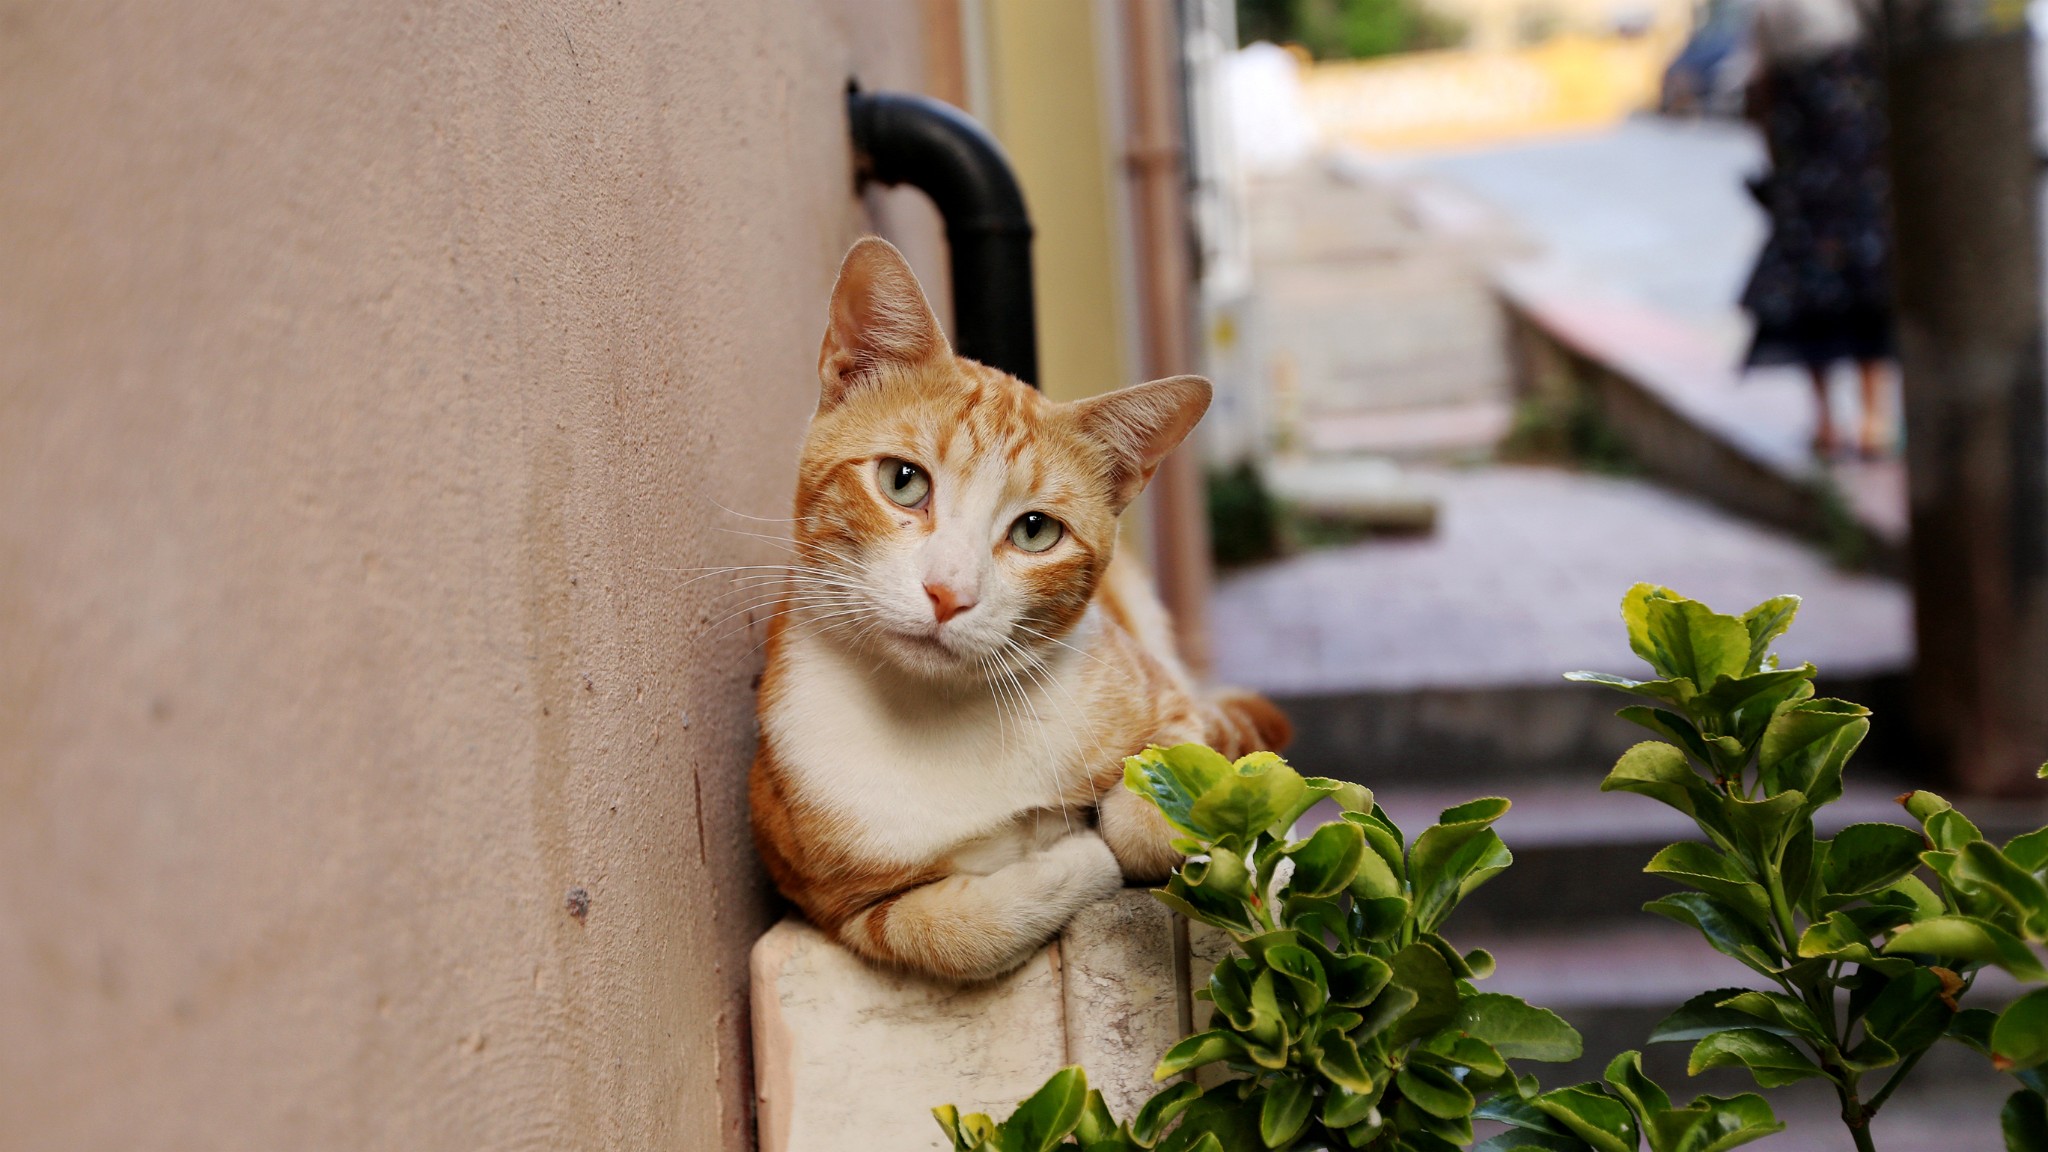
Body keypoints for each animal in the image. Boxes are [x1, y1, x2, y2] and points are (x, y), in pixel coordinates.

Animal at [745, 233, 1286, 975]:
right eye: (902, 481)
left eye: (1035, 531)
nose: (949, 593)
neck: (939, 711)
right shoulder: (836, 904)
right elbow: (954, 931)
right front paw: (1073, 855)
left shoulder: (1170, 703)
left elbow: (1156, 803)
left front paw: (1112, 829)